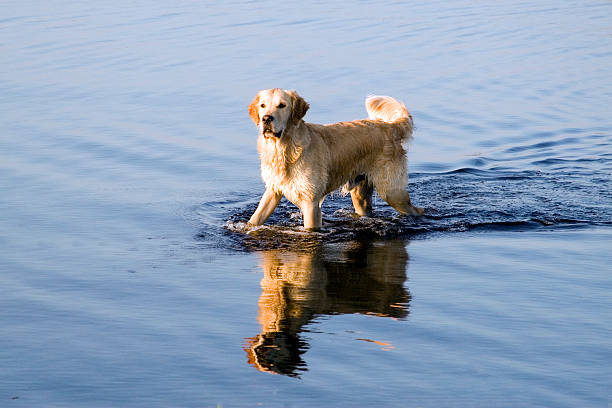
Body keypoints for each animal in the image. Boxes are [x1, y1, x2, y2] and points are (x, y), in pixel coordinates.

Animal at [246, 88, 424, 230]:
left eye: (282, 105)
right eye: (262, 106)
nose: (266, 118)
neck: (284, 149)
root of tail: (391, 126)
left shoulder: (310, 201)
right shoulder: (273, 190)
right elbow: (255, 218)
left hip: (391, 191)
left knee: (417, 210)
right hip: (361, 195)